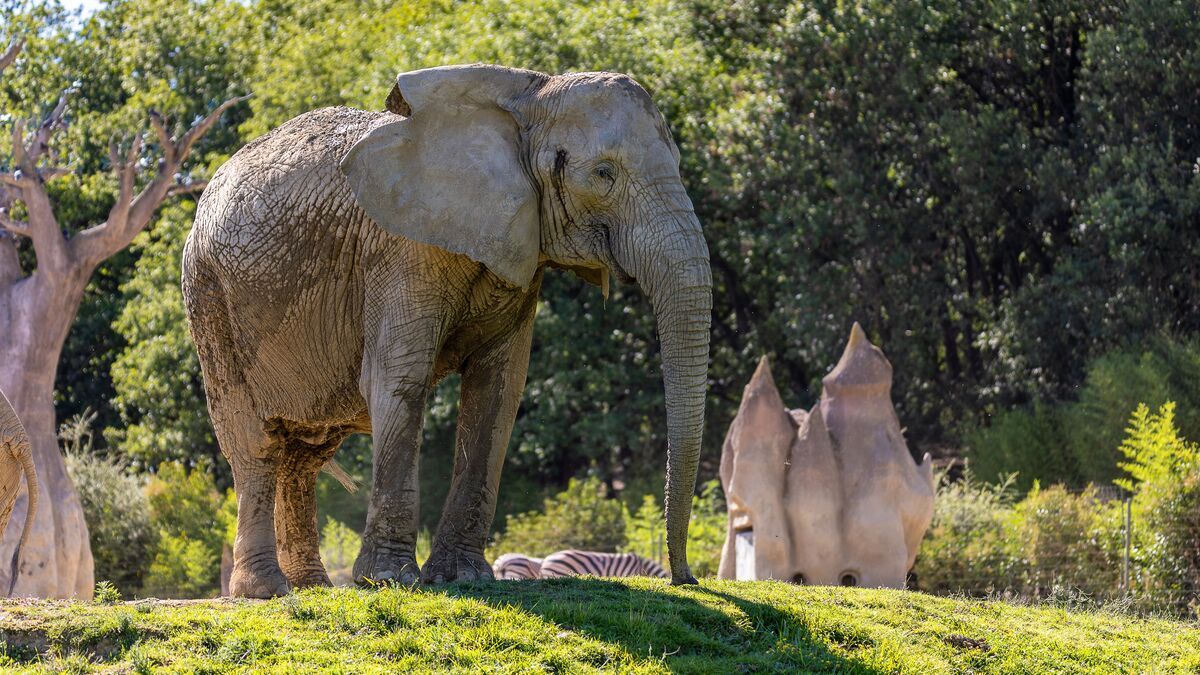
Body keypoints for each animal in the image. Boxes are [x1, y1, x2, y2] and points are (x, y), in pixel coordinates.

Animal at [182, 64, 712, 597]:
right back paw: (266, 591)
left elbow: (497, 390)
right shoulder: (400, 247)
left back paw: (313, 587)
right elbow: (399, 380)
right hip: (209, 297)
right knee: (255, 441)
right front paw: (389, 580)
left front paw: (463, 577)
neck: (528, 95)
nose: (686, 580)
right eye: (604, 174)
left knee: (305, 454)